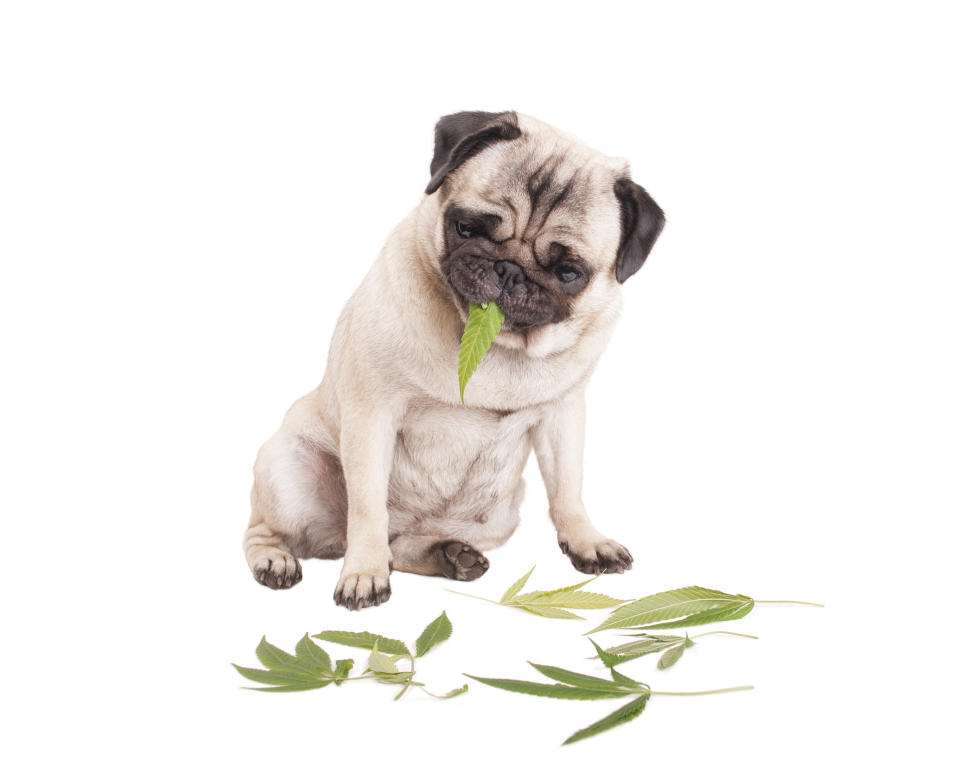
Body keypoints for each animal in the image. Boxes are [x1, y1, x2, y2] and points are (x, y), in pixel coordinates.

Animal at [244, 111, 664, 608]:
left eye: (568, 273)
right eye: (466, 228)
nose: (509, 270)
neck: (494, 346)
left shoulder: (562, 415)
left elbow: (567, 489)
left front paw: (586, 541)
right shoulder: (372, 416)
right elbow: (366, 508)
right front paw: (363, 574)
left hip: (497, 515)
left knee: (401, 546)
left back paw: (449, 556)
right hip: (286, 468)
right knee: (270, 530)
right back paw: (276, 560)